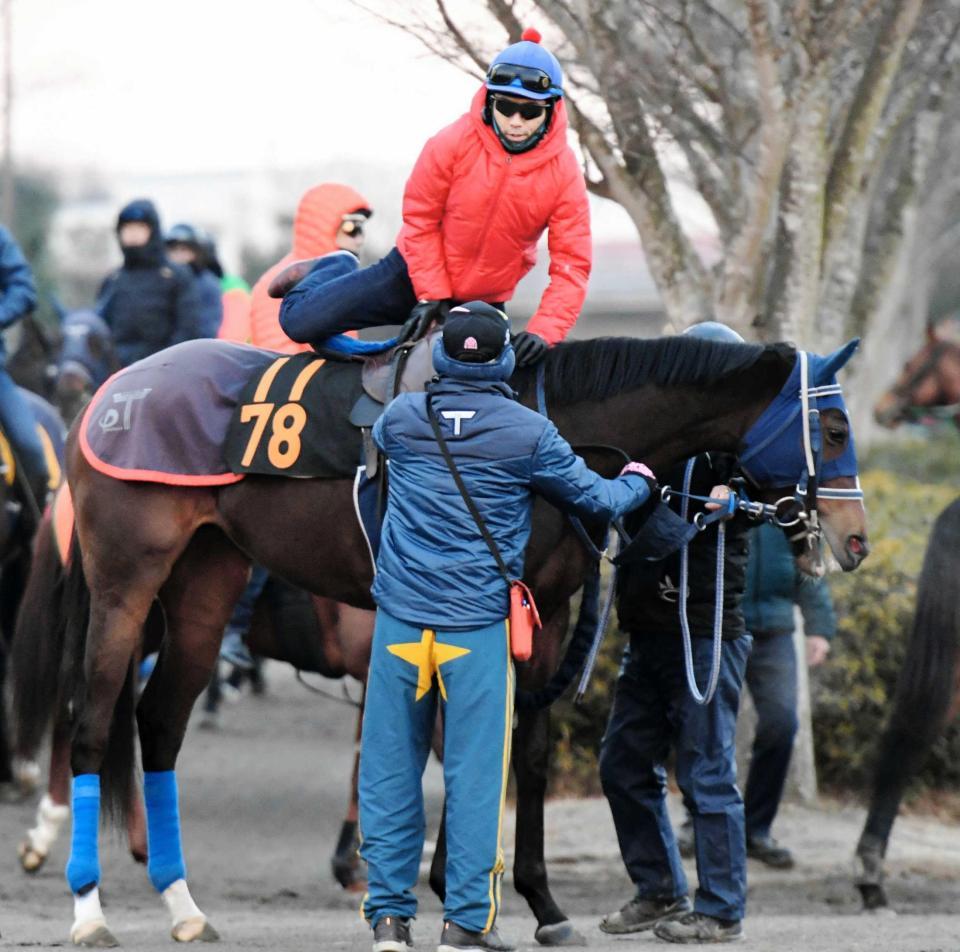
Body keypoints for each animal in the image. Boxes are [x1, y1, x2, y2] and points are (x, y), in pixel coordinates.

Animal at [47, 334, 872, 944]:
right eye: (834, 429)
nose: (856, 538)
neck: (558, 426)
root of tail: (110, 395)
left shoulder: (544, 614)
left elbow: (523, 752)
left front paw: (540, 904)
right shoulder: (480, 606)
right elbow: (469, 739)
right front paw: (460, 894)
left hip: (205, 584)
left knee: (159, 723)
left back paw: (183, 906)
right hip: (125, 584)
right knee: (88, 725)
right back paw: (88, 911)